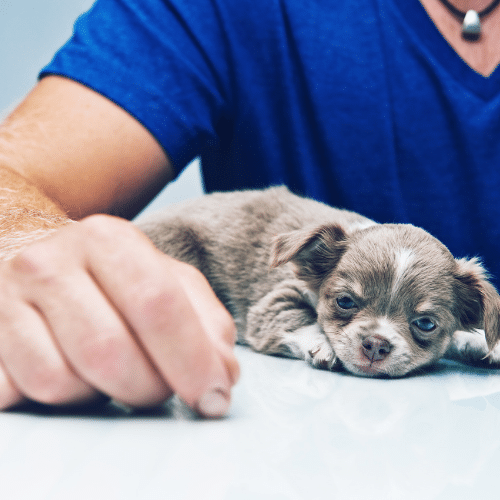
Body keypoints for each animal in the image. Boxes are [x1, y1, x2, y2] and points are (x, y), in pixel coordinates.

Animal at [136, 187, 500, 376]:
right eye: (345, 302)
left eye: (425, 324)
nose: (376, 344)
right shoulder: (275, 302)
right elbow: (302, 319)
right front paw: (323, 344)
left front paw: (484, 343)